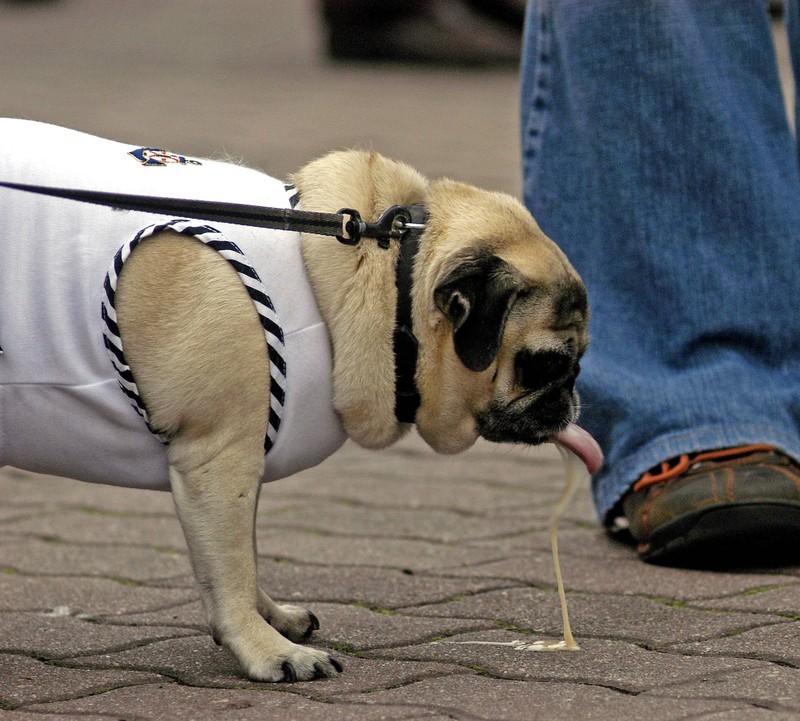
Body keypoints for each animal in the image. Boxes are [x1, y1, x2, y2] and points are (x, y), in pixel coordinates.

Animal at [0, 118, 600, 680]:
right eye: (547, 364)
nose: (573, 399)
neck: (379, 270)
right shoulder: (220, 459)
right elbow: (230, 567)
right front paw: (266, 649)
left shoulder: (238, 467)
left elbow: (238, 555)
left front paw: (271, 618)